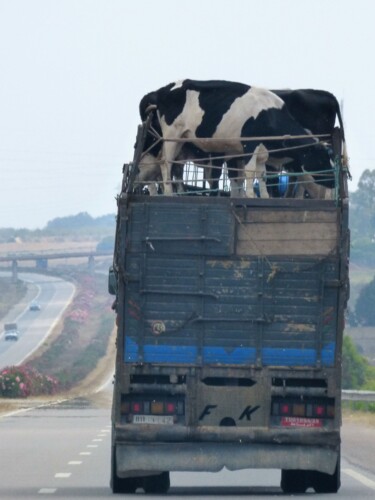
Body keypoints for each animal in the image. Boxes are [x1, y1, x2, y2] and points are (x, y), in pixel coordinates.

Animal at [137, 79, 336, 196]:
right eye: (322, 159)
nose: (334, 182)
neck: (270, 114)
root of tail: (163, 90)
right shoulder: (249, 145)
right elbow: (249, 173)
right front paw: (250, 196)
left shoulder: (262, 152)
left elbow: (262, 176)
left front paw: (263, 197)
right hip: (171, 135)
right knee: (165, 163)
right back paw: (169, 192)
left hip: (181, 139)